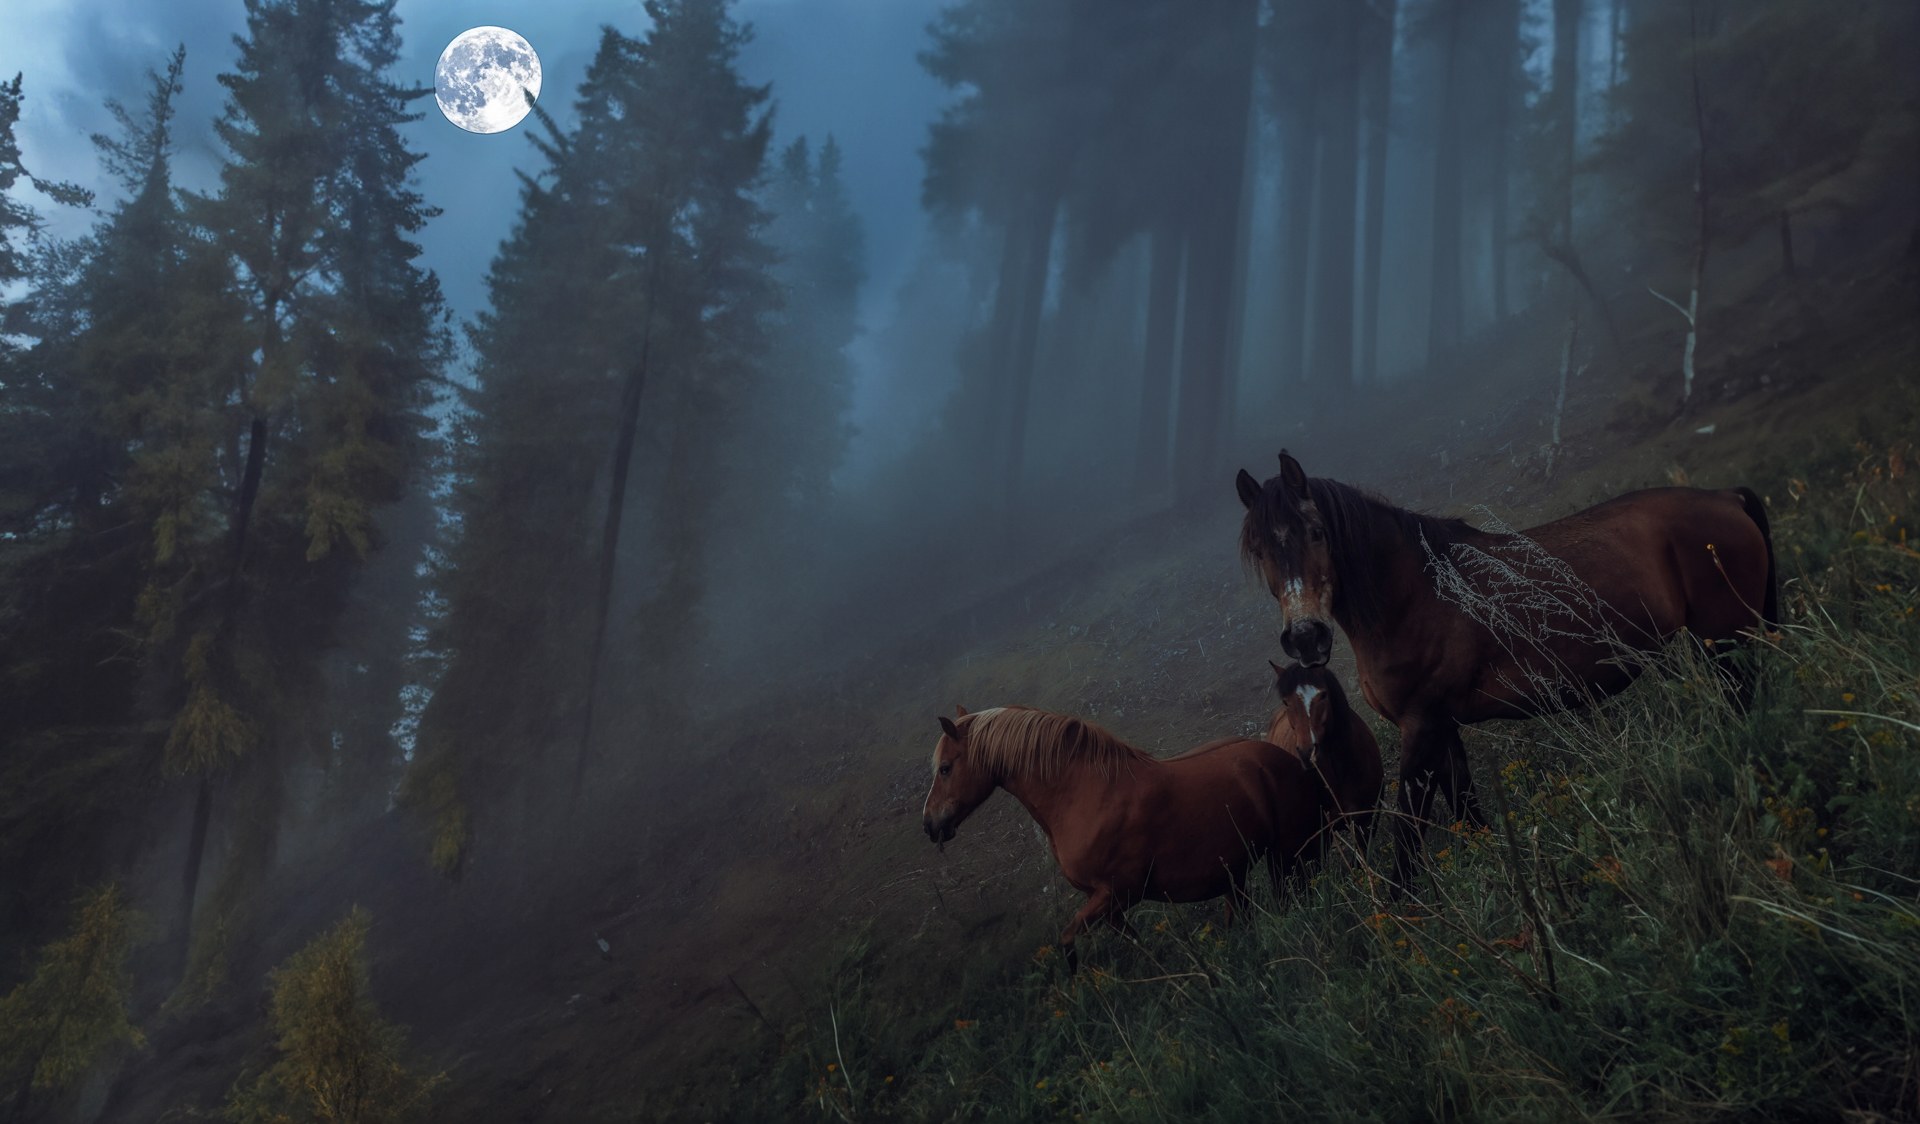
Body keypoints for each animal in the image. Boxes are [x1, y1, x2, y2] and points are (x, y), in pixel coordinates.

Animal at [921, 705, 1323, 972]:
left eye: (946, 768)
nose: (930, 824)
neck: (1083, 794)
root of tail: (1287, 759)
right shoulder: (1109, 905)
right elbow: (1136, 942)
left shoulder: (1116, 894)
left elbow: (1067, 940)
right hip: (1238, 872)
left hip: (1287, 856)